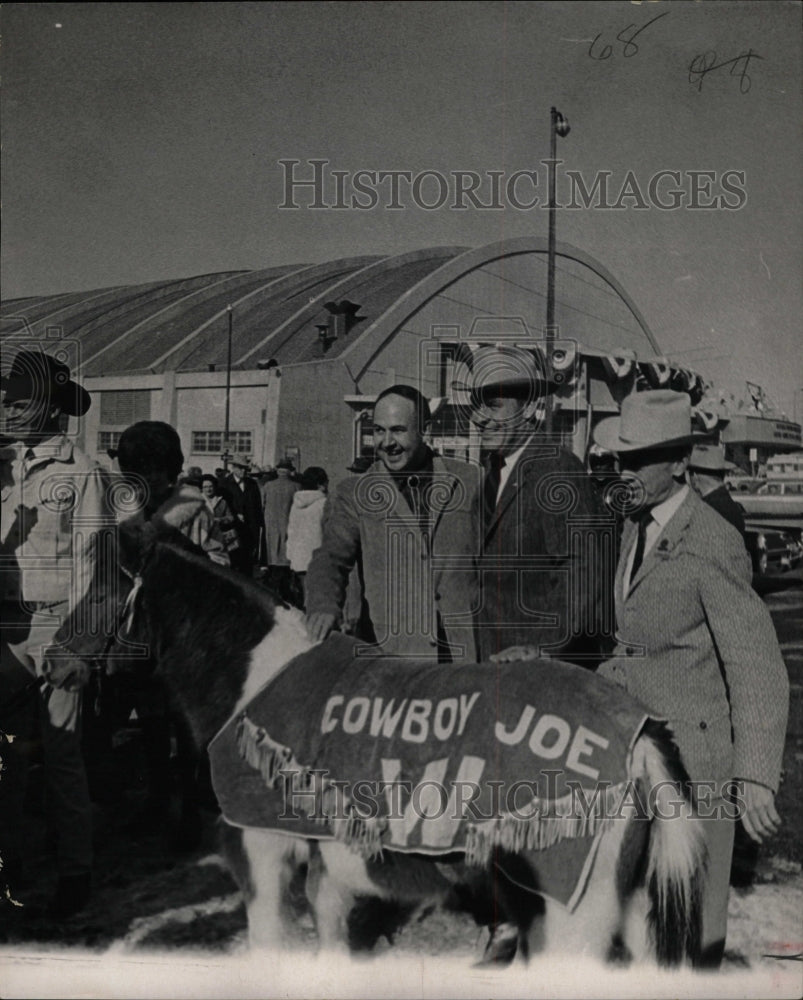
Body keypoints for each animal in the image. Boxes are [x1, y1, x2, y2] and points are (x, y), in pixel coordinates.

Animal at [48, 524, 704, 968]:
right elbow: (329, 928)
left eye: (102, 591)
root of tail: (639, 738)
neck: (255, 680)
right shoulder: (328, 863)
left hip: (570, 912)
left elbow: (267, 939)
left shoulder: (262, 848)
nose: (54, 664)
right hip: (631, 910)